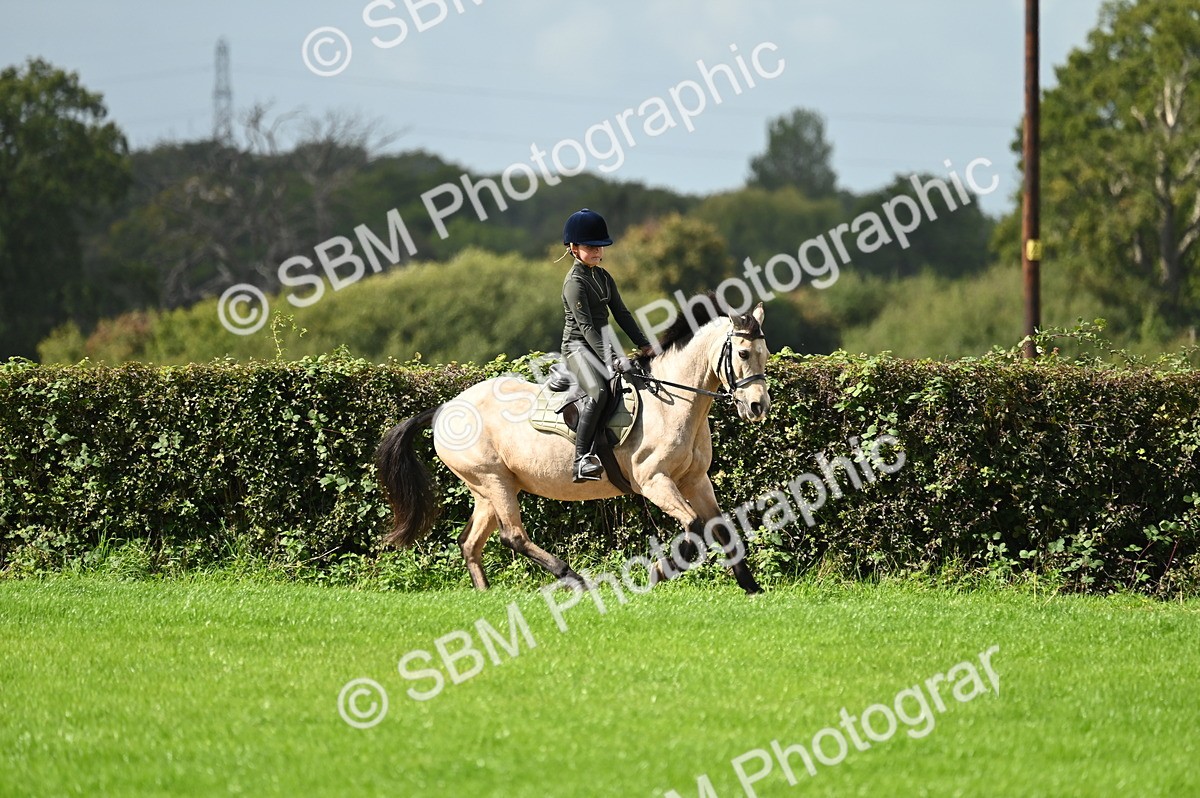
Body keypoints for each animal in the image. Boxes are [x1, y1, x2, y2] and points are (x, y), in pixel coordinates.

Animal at [374, 298, 772, 594]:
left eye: (765, 353)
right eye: (742, 354)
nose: (758, 407)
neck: (673, 402)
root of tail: (445, 408)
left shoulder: (695, 479)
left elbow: (720, 527)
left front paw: (751, 587)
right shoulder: (654, 482)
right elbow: (693, 526)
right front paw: (659, 572)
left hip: (487, 489)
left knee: (470, 542)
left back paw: (485, 594)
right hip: (493, 481)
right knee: (513, 536)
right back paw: (574, 579)